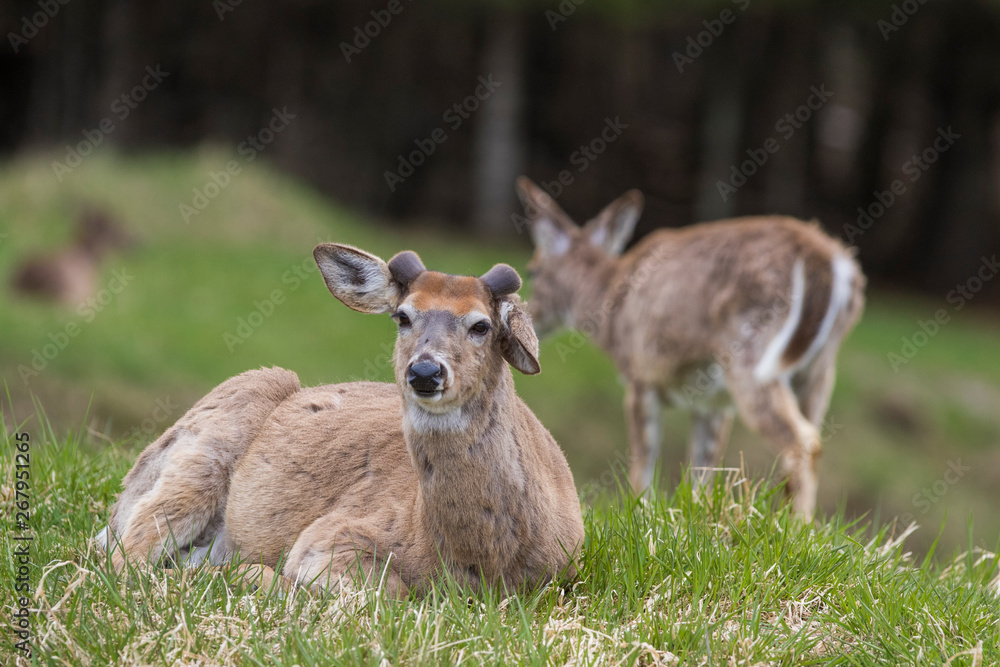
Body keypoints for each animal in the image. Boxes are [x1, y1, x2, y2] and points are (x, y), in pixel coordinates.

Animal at [97, 243, 584, 597]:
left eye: (481, 325)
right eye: (402, 316)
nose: (425, 372)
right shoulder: (336, 531)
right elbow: (389, 592)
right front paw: (267, 577)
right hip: (209, 441)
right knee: (123, 557)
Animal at [515, 177, 865, 518]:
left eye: (531, 271)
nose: (532, 321)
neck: (610, 306)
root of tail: (828, 259)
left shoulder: (641, 374)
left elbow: (643, 465)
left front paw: (642, 515)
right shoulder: (712, 402)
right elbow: (702, 474)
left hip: (752, 352)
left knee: (802, 441)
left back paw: (793, 526)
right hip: (819, 367)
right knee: (813, 434)